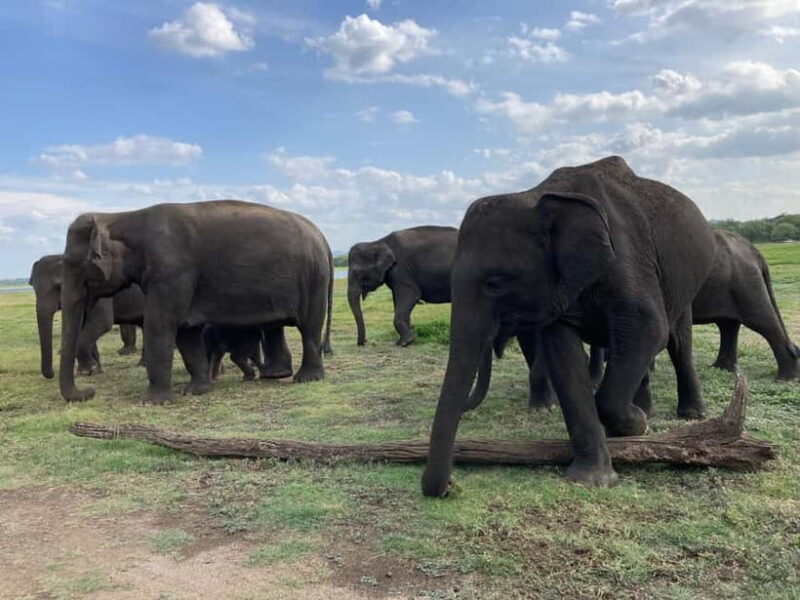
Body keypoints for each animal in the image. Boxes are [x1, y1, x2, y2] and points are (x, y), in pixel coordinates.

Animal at [58, 200, 333, 405]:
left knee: (309, 325)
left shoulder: (171, 271)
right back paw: (274, 375)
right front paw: (193, 390)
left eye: (75, 265)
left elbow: (161, 324)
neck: (121, 216)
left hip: (313, 278)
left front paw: (153, 402)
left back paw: (306, 378)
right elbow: (185, 330)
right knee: (274, 326)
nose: (89, 391)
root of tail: (322, 236)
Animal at [422, 156, 717, 496]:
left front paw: (637, 423)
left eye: (494, 283)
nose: (450, 486)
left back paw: (688, 414)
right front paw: (591, 477)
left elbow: (650, 328)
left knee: (677, 341)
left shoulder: (628, 258)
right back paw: (643, 413)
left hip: (684, 284)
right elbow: (564, 359)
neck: (536, 195)